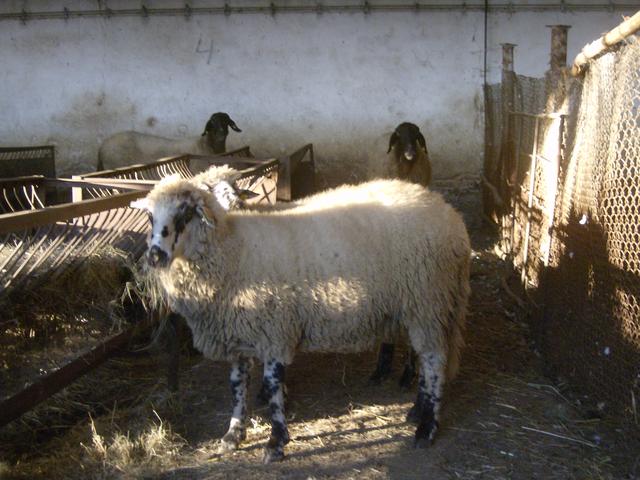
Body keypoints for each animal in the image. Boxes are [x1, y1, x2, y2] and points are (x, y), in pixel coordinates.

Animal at [132, 177, 470, 463]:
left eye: (185, 214)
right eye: (150, 218)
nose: (155, 256)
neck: (232, 248)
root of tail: (449, 213)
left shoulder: (274, 329)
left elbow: (272, 389)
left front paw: (276, 442)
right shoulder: (238, 333)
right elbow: (237, 386)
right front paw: (233, 435)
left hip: (427, 301)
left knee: (434, 362)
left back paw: (426, 427)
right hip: (418, 306)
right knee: (427, 359)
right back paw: (416, 410)